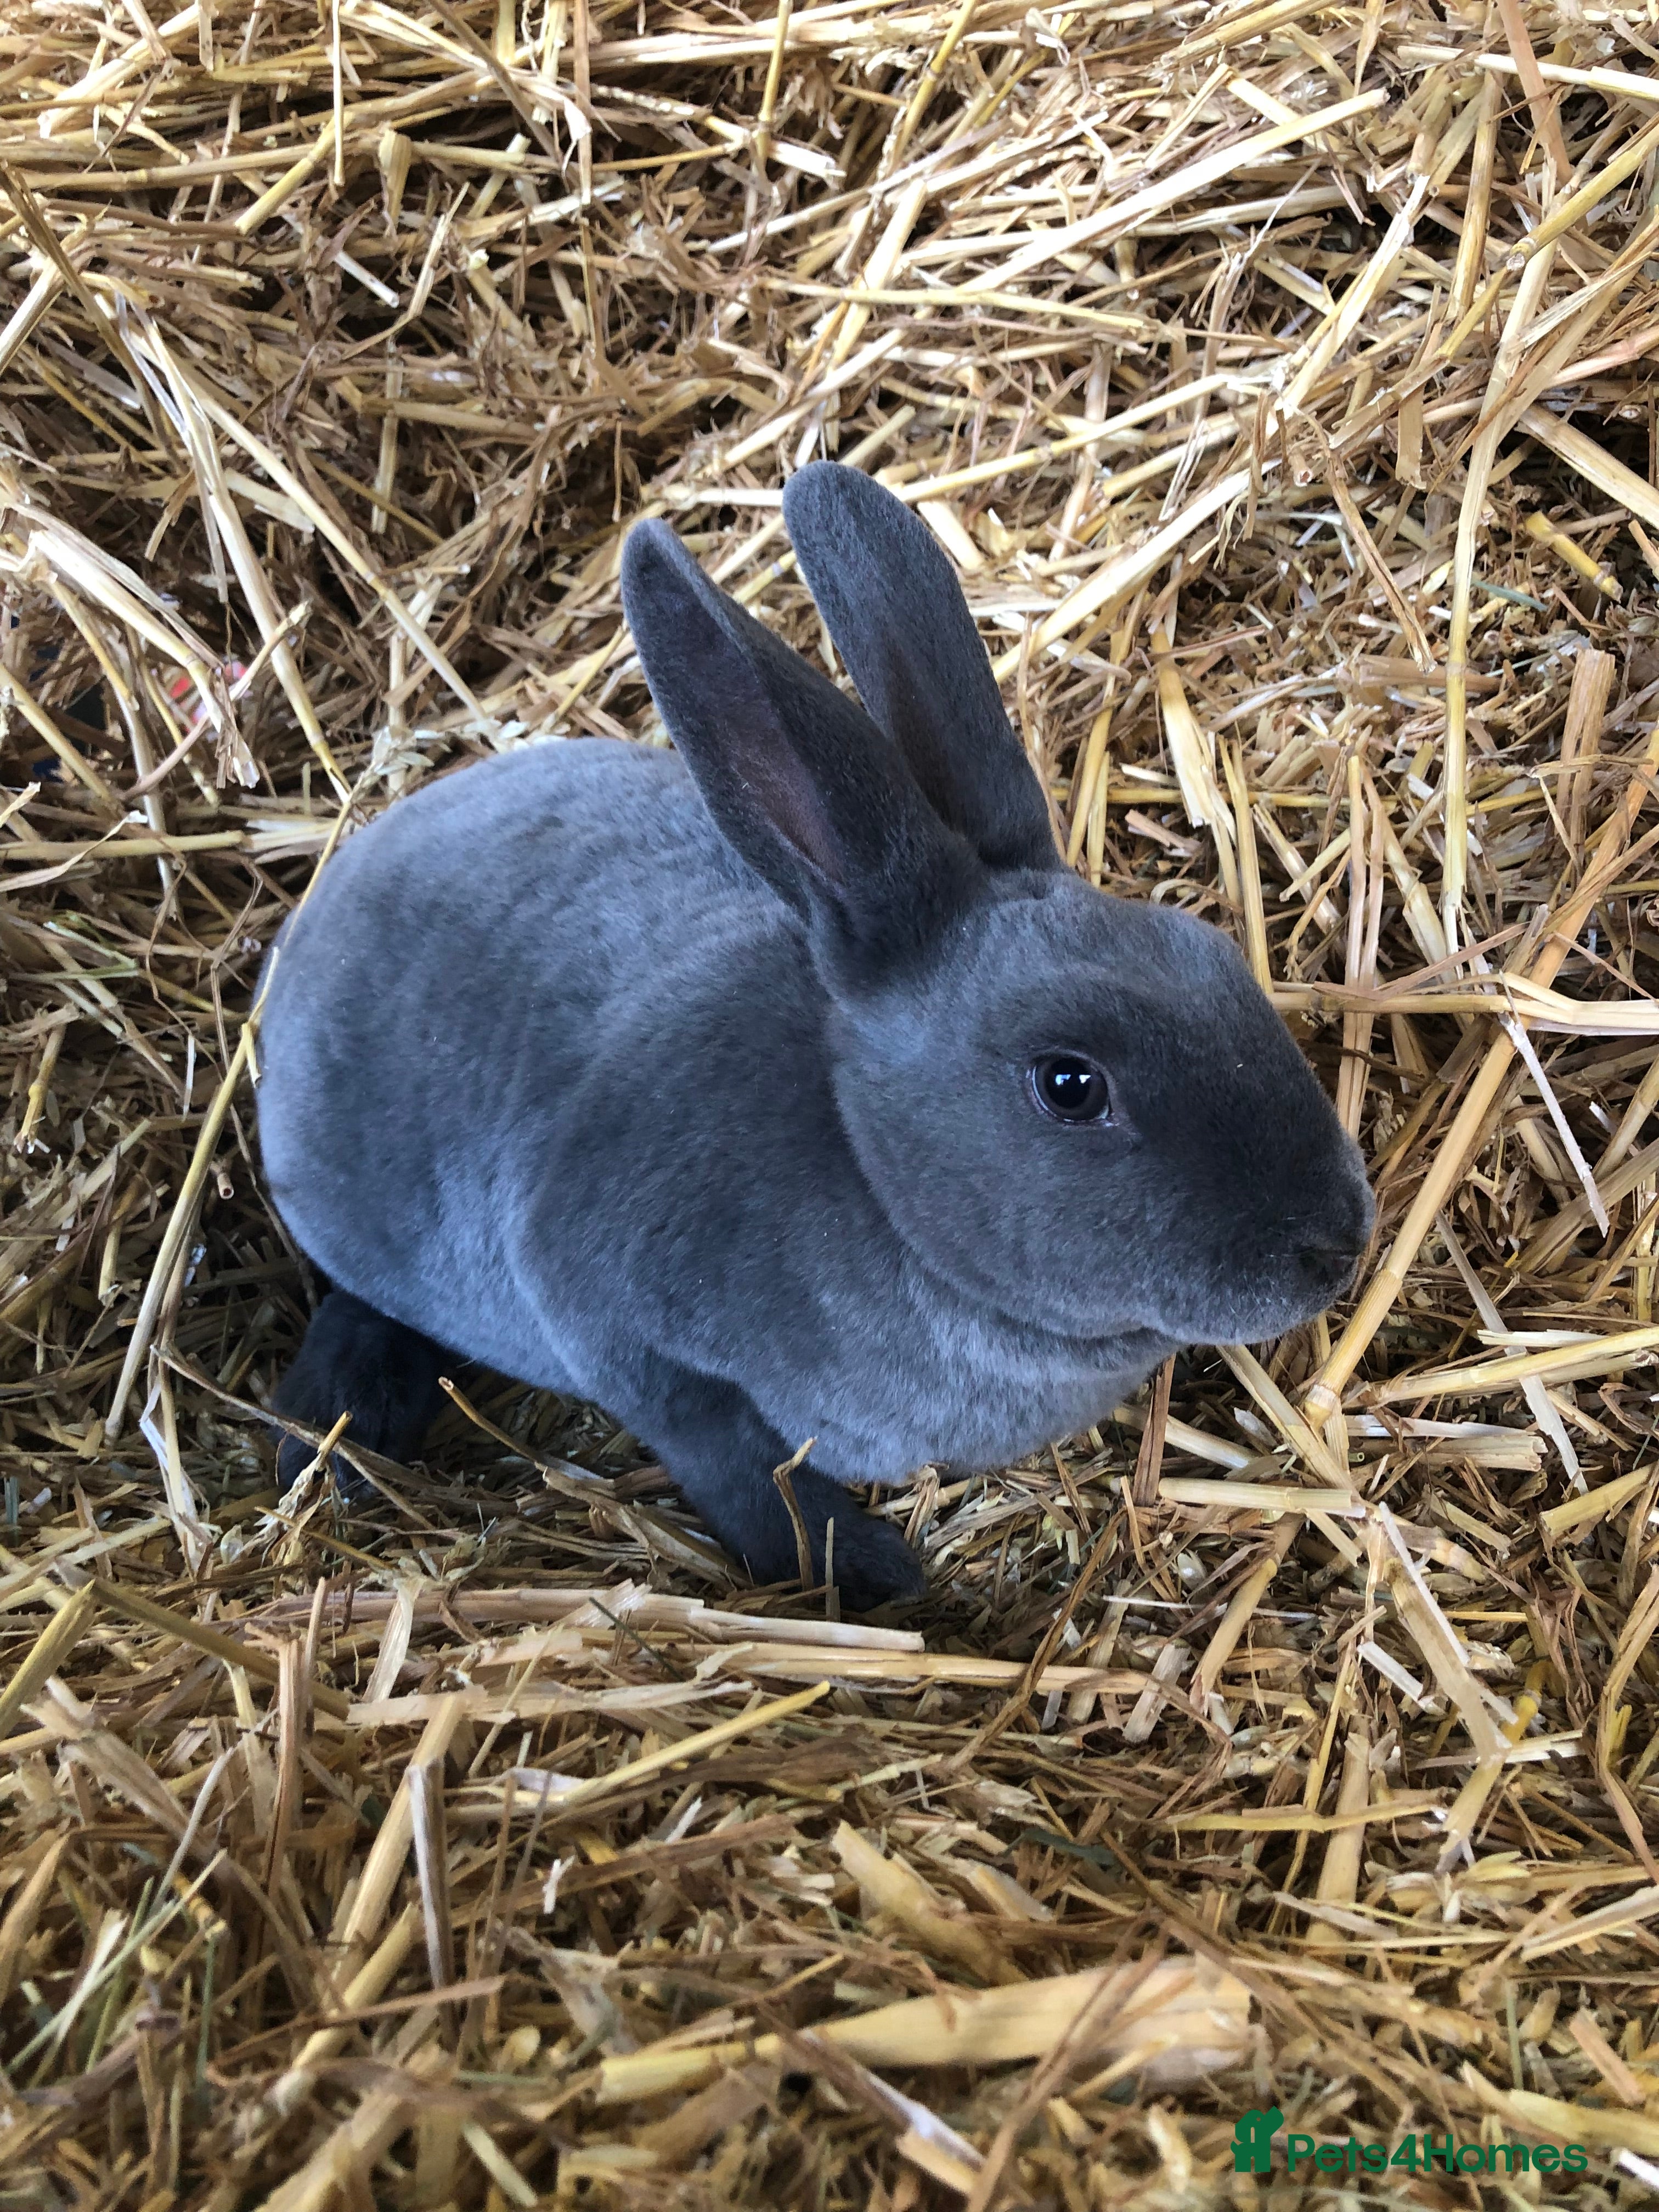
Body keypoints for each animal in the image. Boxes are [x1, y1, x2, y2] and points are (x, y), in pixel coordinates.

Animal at [256, 462, 1374, 1609]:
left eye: (1210, 954)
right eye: (1069, 1084)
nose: (1335, 1244)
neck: (873, 1174)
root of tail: (319, 913)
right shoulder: (598, 1306)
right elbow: (729, 1461)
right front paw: (872, 1572)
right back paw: (330, 1447)